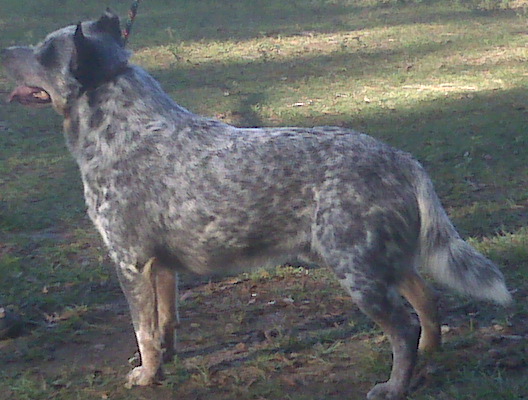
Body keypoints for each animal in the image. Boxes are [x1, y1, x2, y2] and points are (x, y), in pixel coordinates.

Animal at [1, 11, 512, 400]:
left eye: (44, 52)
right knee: (426, 301)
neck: (122, 130)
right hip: (383, 259)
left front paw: (146, 376)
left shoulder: (131, 262)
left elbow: (144, 328)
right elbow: (165, 324)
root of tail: (401, 158)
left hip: (356, 268)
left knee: (403, 327)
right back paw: (429, 354)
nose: (5, 51)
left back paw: (395, 386)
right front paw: (163, 364)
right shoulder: (162, 268)